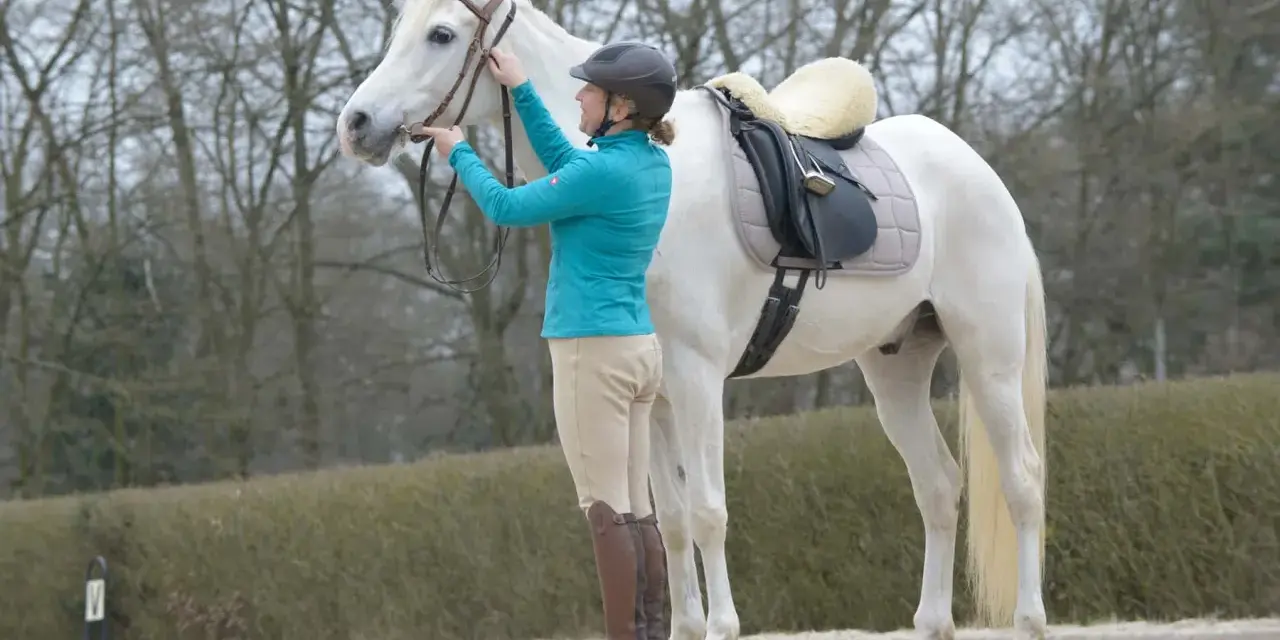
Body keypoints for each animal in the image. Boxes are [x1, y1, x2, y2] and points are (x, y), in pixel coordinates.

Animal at [334, 0, 1049, 638]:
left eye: (442, 34)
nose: (355, 124)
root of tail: (980, 172)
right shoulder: (652, 399)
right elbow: (668, 523)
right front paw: (684, 625)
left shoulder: (697, 380)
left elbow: (708, 512)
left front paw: (723, 626)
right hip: (895, 371)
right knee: (937, 486)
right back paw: (932, 622)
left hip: (989, 361)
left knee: (1022, 481)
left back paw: (1030, 620)